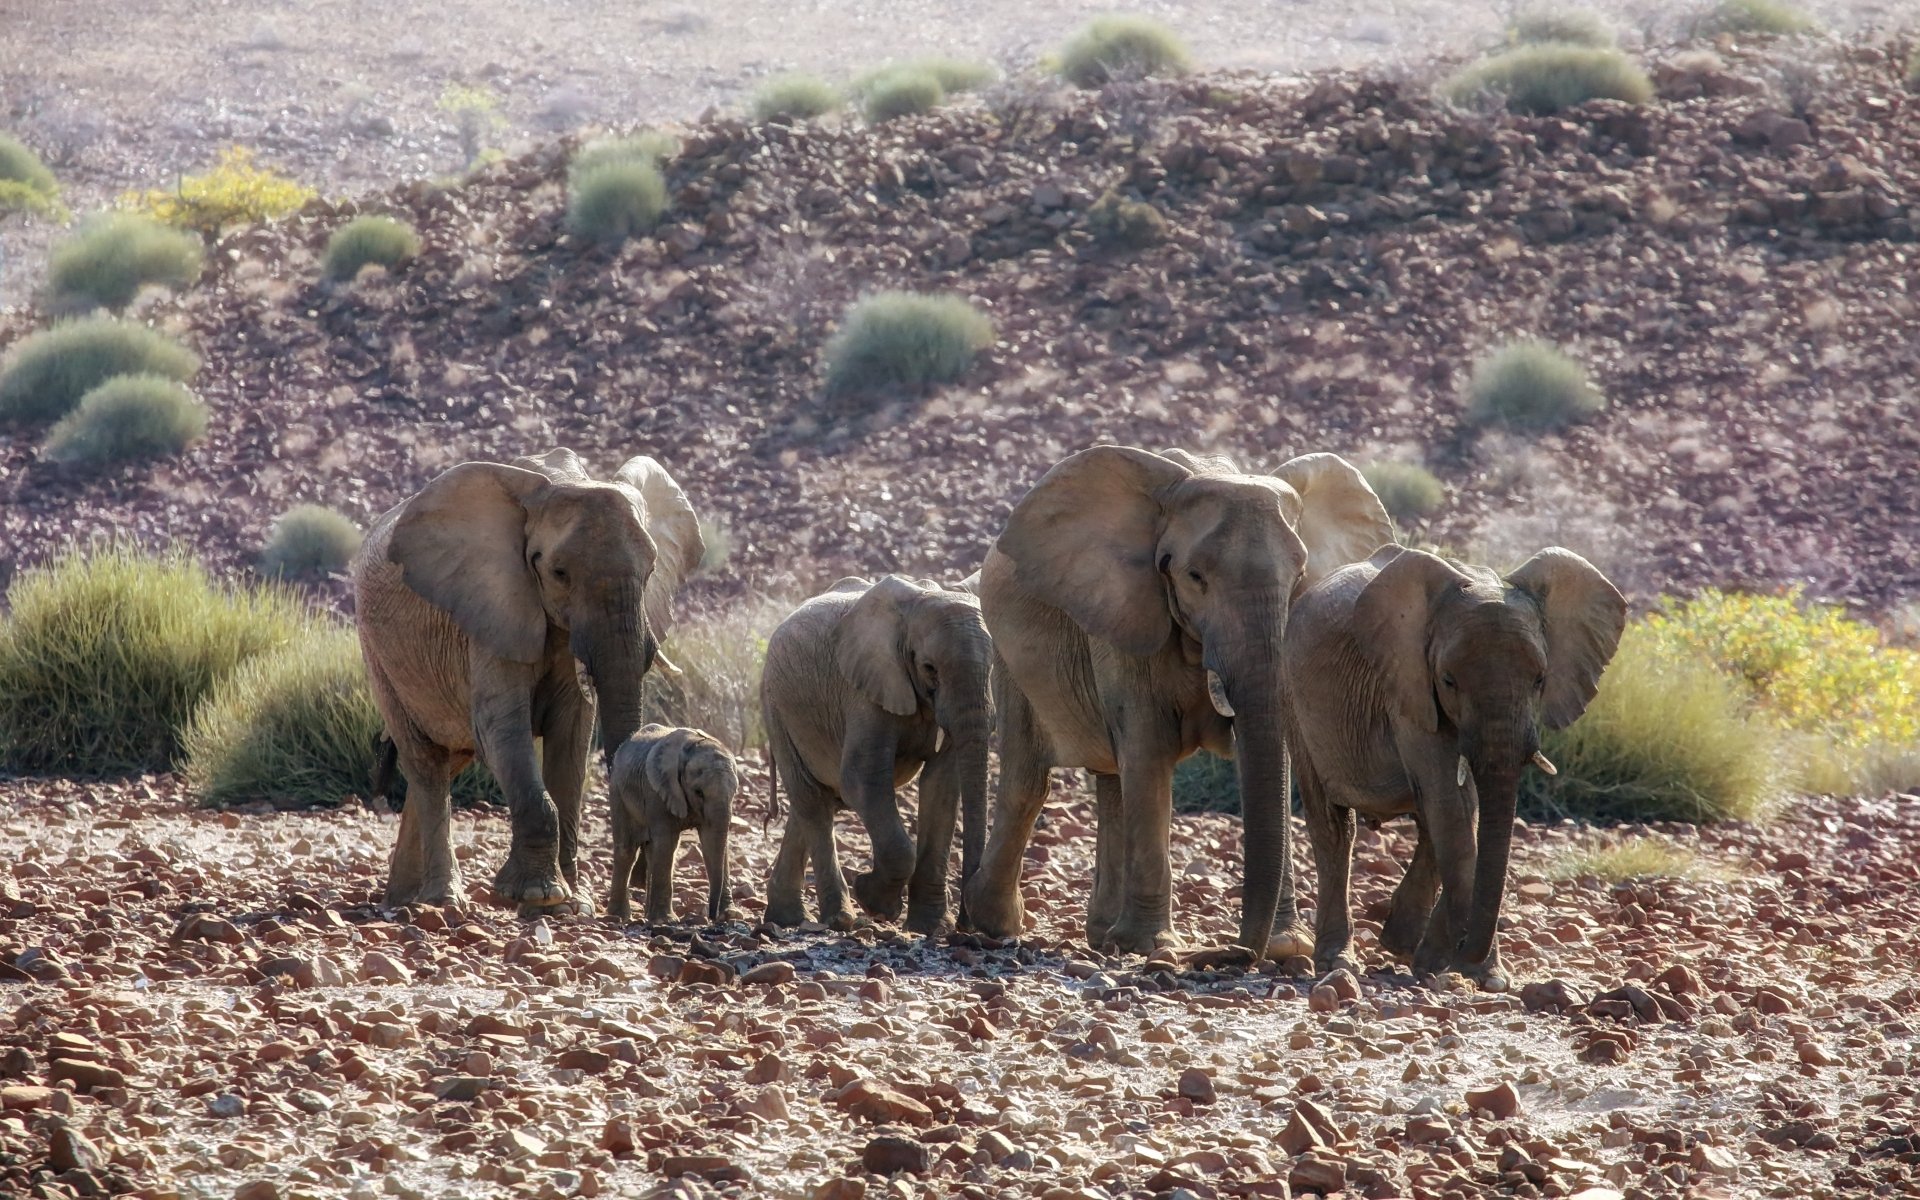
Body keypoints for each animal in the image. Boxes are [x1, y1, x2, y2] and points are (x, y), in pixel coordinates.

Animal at [352, 446, 704, 913]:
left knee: (446, 761)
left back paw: (405, 898)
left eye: (650, 573)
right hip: (378, 654)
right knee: (426, 765)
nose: (641, 879)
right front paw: (539, 896)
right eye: (559, 573)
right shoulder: (492, 604)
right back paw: (442, 900)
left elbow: (572, 736)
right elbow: (502, 728)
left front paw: (574, 902)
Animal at [607, 725, 739, 924]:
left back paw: (647, 915)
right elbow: (667, 842)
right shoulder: (656, 791)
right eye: (698, 792)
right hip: (617, 790)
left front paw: (730, 915)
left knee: (651, 851)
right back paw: (619, 917)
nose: (711, 916)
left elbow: (713, 843)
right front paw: (666, 920)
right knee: (627, 850)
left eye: (735, 791)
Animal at [763, 575, 994, 935]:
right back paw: (839, 919)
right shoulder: (865, 689)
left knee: (817, 801)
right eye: (929, 668)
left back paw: (784, 918)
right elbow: (863, 779)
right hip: (778, 708)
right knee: (811, 798)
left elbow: (942, 786)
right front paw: (875, 902)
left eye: (994, 667)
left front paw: (928, 927)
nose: (966, 927)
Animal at [962, 446, 1395, 957]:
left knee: (1112, 780)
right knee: (1029, 779)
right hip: (1009, 653)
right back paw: (996, 922)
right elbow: (1148, 746)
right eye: (1194, 577)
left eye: (1300, 578)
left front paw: (1288, 947)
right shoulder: (1126, 608)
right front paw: (1149, 945)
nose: (1236, 954)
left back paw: (1100, 934)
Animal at [1282, 544, 1625, 991]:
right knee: (1335, 827)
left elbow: (1462, 810)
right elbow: (1452, 804)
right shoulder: (1407, 687)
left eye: (1540, 680)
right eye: (1448, 680)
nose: (1469, 958)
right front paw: (1485, 977)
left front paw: (1445, 965)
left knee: (1428, 822)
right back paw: (1338, 961)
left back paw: (1403, 945)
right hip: (1294, 700)